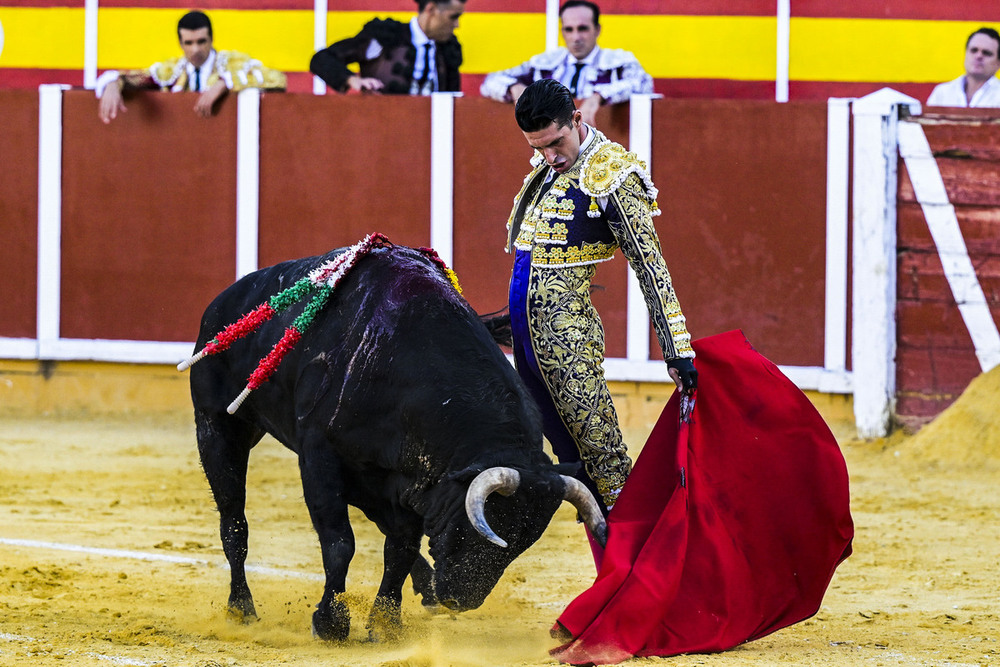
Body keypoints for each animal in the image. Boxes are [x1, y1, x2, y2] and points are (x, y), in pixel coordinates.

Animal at [184, 244, 604, 640]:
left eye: (523, 544)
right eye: (486, 524)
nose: (462, 599)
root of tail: (222, 309)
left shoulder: (411, 480)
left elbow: (400, 548)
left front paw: (385, 625)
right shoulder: (321, 459)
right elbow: (340, 543)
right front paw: (331, 624)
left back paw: (425, 589)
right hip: (217, 426)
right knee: (234, 523)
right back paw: (241, 608)